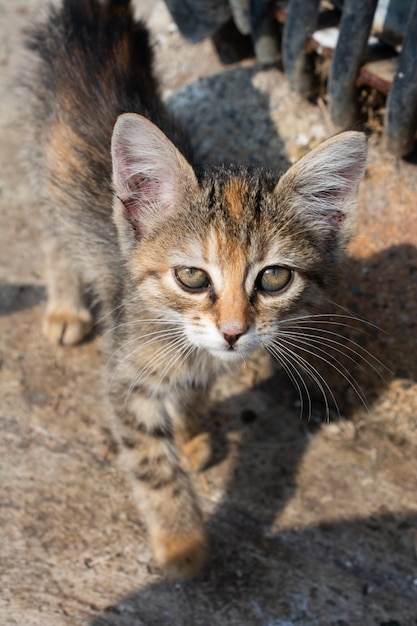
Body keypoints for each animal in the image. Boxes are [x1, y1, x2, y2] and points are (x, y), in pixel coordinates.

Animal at [24, 0, 366, 576]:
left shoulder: (207, 362)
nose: (233, 331)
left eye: (274, 277)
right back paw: (66, 309)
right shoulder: (124, 379)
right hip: (48, 179)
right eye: (192, 277)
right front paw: (182, 541)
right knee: (51, 235)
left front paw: (187, 433)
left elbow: (192, 392)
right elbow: (151, 464)